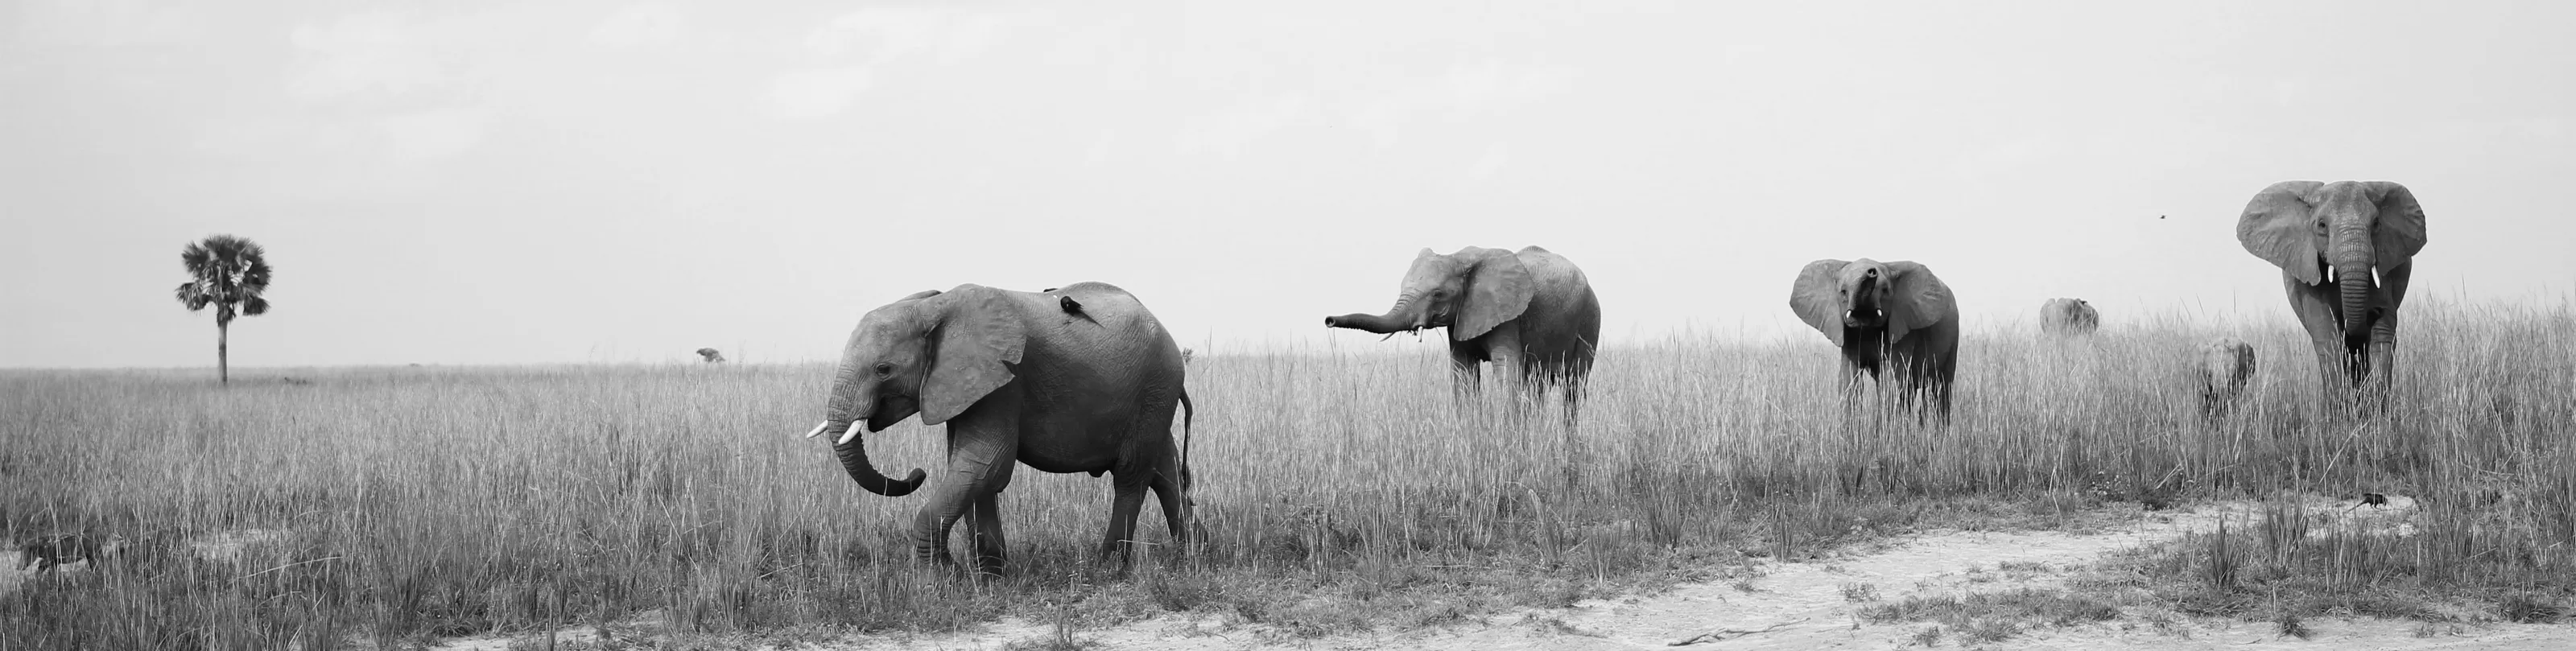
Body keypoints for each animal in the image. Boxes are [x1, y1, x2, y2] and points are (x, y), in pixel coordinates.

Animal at [799, 282, 1194, 576]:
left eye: (883, 369)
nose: (917, 474)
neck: (936, 307)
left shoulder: (1004, 381)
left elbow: (984, 463)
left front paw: (942, 579)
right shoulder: (968, 386)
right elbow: (972, 468)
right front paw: (991, 577)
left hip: (1154, 387)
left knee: (1131, 476)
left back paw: (1109, 567)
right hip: (1155, 398)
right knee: (1165, 473)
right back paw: (1196, 554)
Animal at [1322, 245, 1602, 425]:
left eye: (1437, 294)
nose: (1328, 320)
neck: (1460, 259)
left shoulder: (1509, 315)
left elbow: (1507, 368)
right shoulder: (1461, 318)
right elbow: (1463, 372)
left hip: (1590, 320)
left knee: (1573, 388)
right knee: (1537, 385)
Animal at [1790, 258, 1960, 421]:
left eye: (1885, 291)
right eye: (1843, 292)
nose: (1871, 271)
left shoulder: (1902, 329)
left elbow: (1890, 382)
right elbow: (1849, 381)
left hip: (1953, 338)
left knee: (1941, 391)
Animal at [2236, 181, 2426, 411]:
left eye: (2376, 224)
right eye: (2322, 226)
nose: (2373, 312)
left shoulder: (2385, 271)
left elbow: (2383, 334)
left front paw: (2375, 411)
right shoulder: (2309, 275)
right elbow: (2327, 333)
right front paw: (2341, 411)